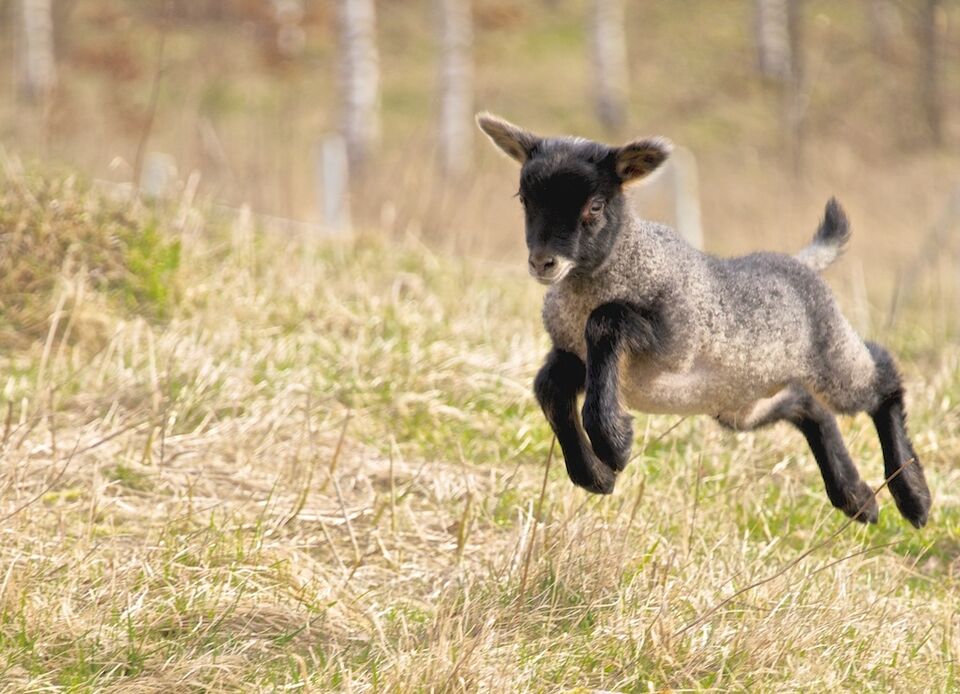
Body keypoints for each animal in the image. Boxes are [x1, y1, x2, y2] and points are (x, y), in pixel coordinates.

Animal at [476, 112, 932, 527]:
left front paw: (613, 443)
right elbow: (549, 388)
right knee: (808, 406)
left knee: (882, 378)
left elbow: (606, 321)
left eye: (594, 206)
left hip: (830, 355)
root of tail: (801, 263)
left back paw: (914, 498)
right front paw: (596, 475)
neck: (626, 263)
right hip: (742, 400)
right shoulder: (573, 356)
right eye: (524, 199)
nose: (543, 262)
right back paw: (857, 499)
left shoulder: (673, 341)